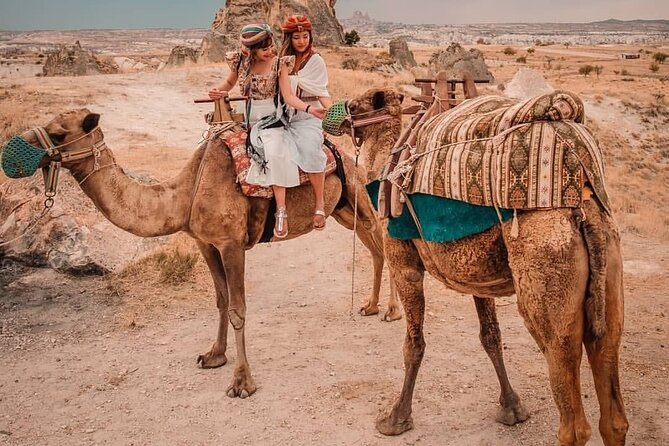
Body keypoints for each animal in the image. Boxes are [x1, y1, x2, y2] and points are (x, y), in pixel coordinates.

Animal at [11, 109, 403, 398]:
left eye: (58, 133)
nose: (14, 150)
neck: (185, 194)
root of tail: (343, 151)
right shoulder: (205, 242)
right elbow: (220, 300)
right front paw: (214, 355)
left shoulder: (231, 244)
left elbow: (238, 308)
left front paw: (242, 382)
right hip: (341, 209)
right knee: (373, 247)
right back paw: (370, 306)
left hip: (357, 192)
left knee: (383, 240)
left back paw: (391, 312)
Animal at [337, 89, 628, 446]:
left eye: (355, 106)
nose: (337, 117)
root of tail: (583, 198)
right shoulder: (477, 277)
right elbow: (490, 336)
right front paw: (512, 408)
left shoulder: (404, 262)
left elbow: (413, 344)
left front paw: (396, 418)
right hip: (609, 266)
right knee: (612, 401)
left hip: (546, 270)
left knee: (573, 419)